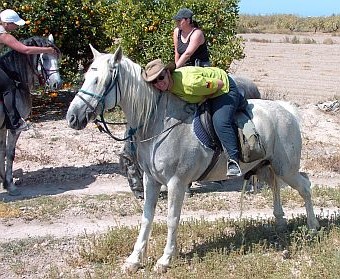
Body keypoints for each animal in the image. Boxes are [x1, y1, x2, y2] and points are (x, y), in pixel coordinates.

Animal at [0, 35, 61, 197]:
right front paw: (10, 184)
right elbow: (10, 153)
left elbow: (2, 152)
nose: (57, 83)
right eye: (44, 58)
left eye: (57, 57)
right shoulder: (14, 129)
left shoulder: (2, 128)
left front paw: (3, 180)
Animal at [65, 46, 318, 274]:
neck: (159, 121)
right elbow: (146, 218)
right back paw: (280, 222)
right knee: (276, 186)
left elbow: (171, 218)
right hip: (267, 167)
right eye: (86, 77)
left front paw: (165, 259)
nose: (72, 117)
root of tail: (285, 110)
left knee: (305, 186)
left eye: (99, 80)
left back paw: (313, 227)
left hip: (287, 169)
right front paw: (134, 260)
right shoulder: (151, 180)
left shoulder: (176, 183)